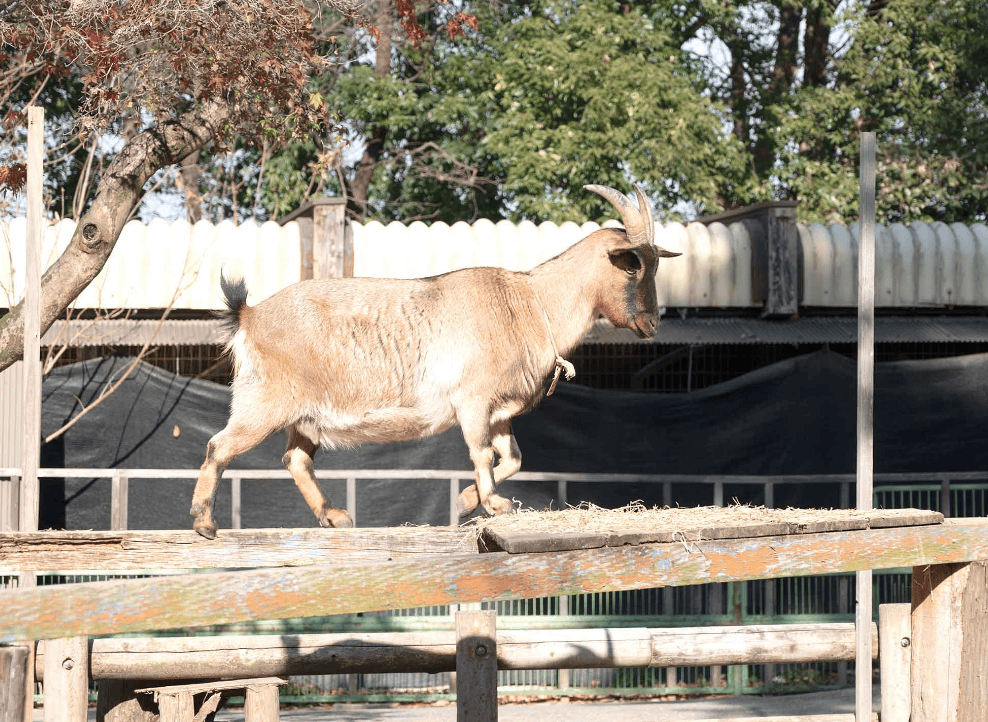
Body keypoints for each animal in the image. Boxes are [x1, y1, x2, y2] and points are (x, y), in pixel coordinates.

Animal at [189, 183, 680, 536]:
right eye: (632, 265)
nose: (652, 324)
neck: (529, 302)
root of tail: (248, 316)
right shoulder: (472, 400)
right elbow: (482, 453)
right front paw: (492, 503)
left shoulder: (499, 410)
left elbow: (513, 458)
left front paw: (467, 501)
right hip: (264, 402)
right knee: (219, 446)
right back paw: (205, 522)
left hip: (306, 418)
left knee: (296, 460)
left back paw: (335, 516)